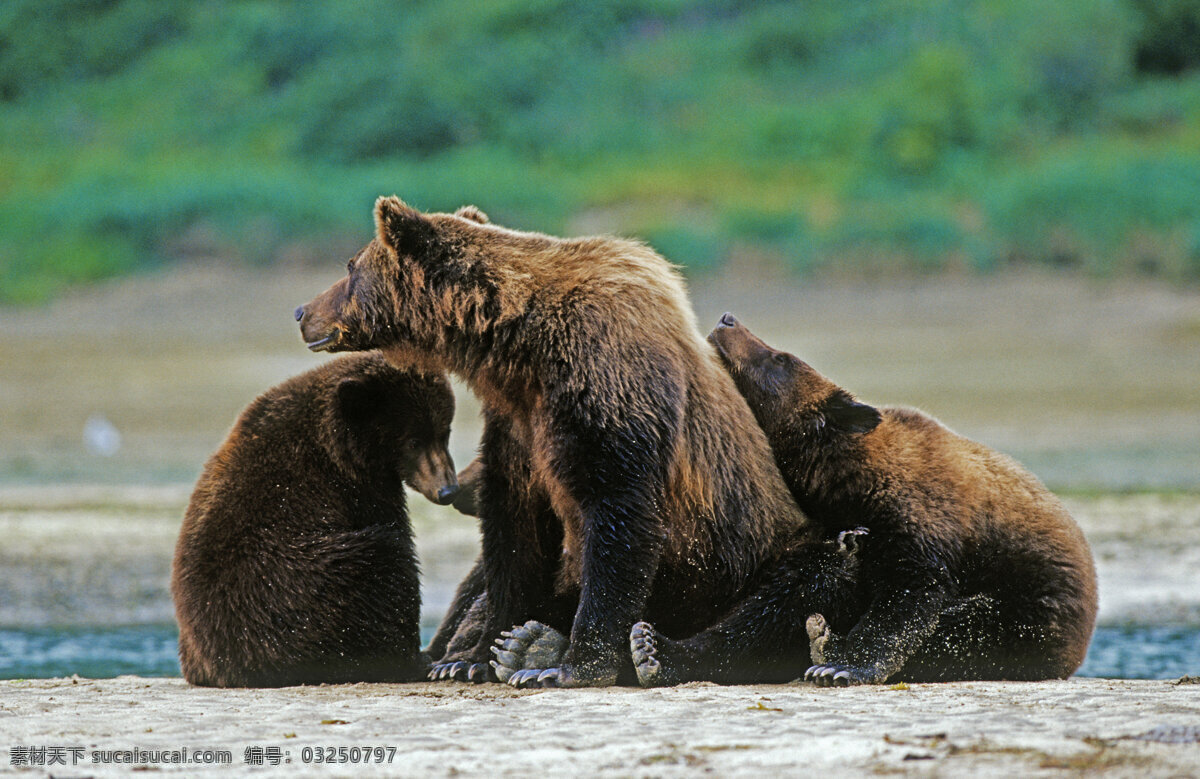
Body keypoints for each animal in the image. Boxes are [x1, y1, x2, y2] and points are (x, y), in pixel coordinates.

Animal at [174, 352, 458, 686]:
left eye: (444, 432)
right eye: (413, 440)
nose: (447, 489)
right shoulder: (358, 487)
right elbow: (394, 534)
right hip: (287, 589)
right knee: (382, 560)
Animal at [295, 198, 844, 681]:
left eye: (350, 266)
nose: (302, 310)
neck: (518, 345)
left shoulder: (604, 374)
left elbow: (619, 507)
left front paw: (577, 664)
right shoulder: (518, 421)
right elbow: (514, 529)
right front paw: (475, 655)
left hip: (749, 553)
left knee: (795, 587)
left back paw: (654, 653)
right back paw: (526, 644)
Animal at [686, 312, 1099, 681]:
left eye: (780, 358)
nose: (727, 320)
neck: (848, 476)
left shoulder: (919, 512)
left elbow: (910, 594)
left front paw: (842, 665)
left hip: (1033, 608)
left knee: (965, 630)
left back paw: (824, 640)